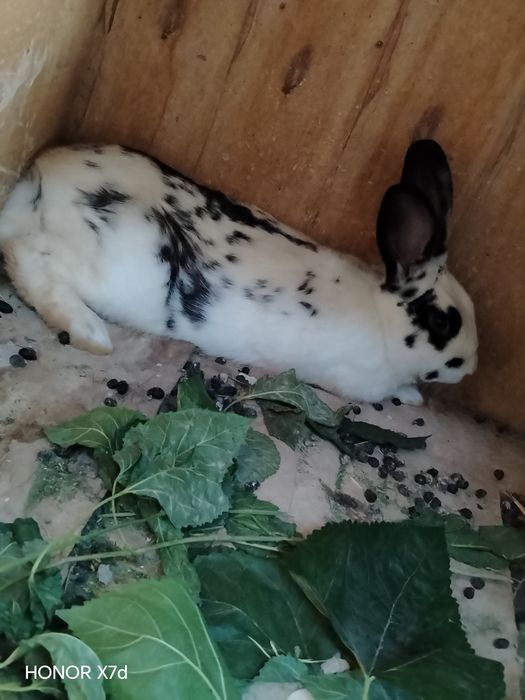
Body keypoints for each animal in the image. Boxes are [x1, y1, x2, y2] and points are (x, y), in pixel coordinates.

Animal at [0, 139, 477, 405]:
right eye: (441, 322)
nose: (469, 369)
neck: (381, 316)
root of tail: (36, 187)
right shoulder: (357, 380)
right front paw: (413, 396)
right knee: (26, 259)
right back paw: (90, 333)